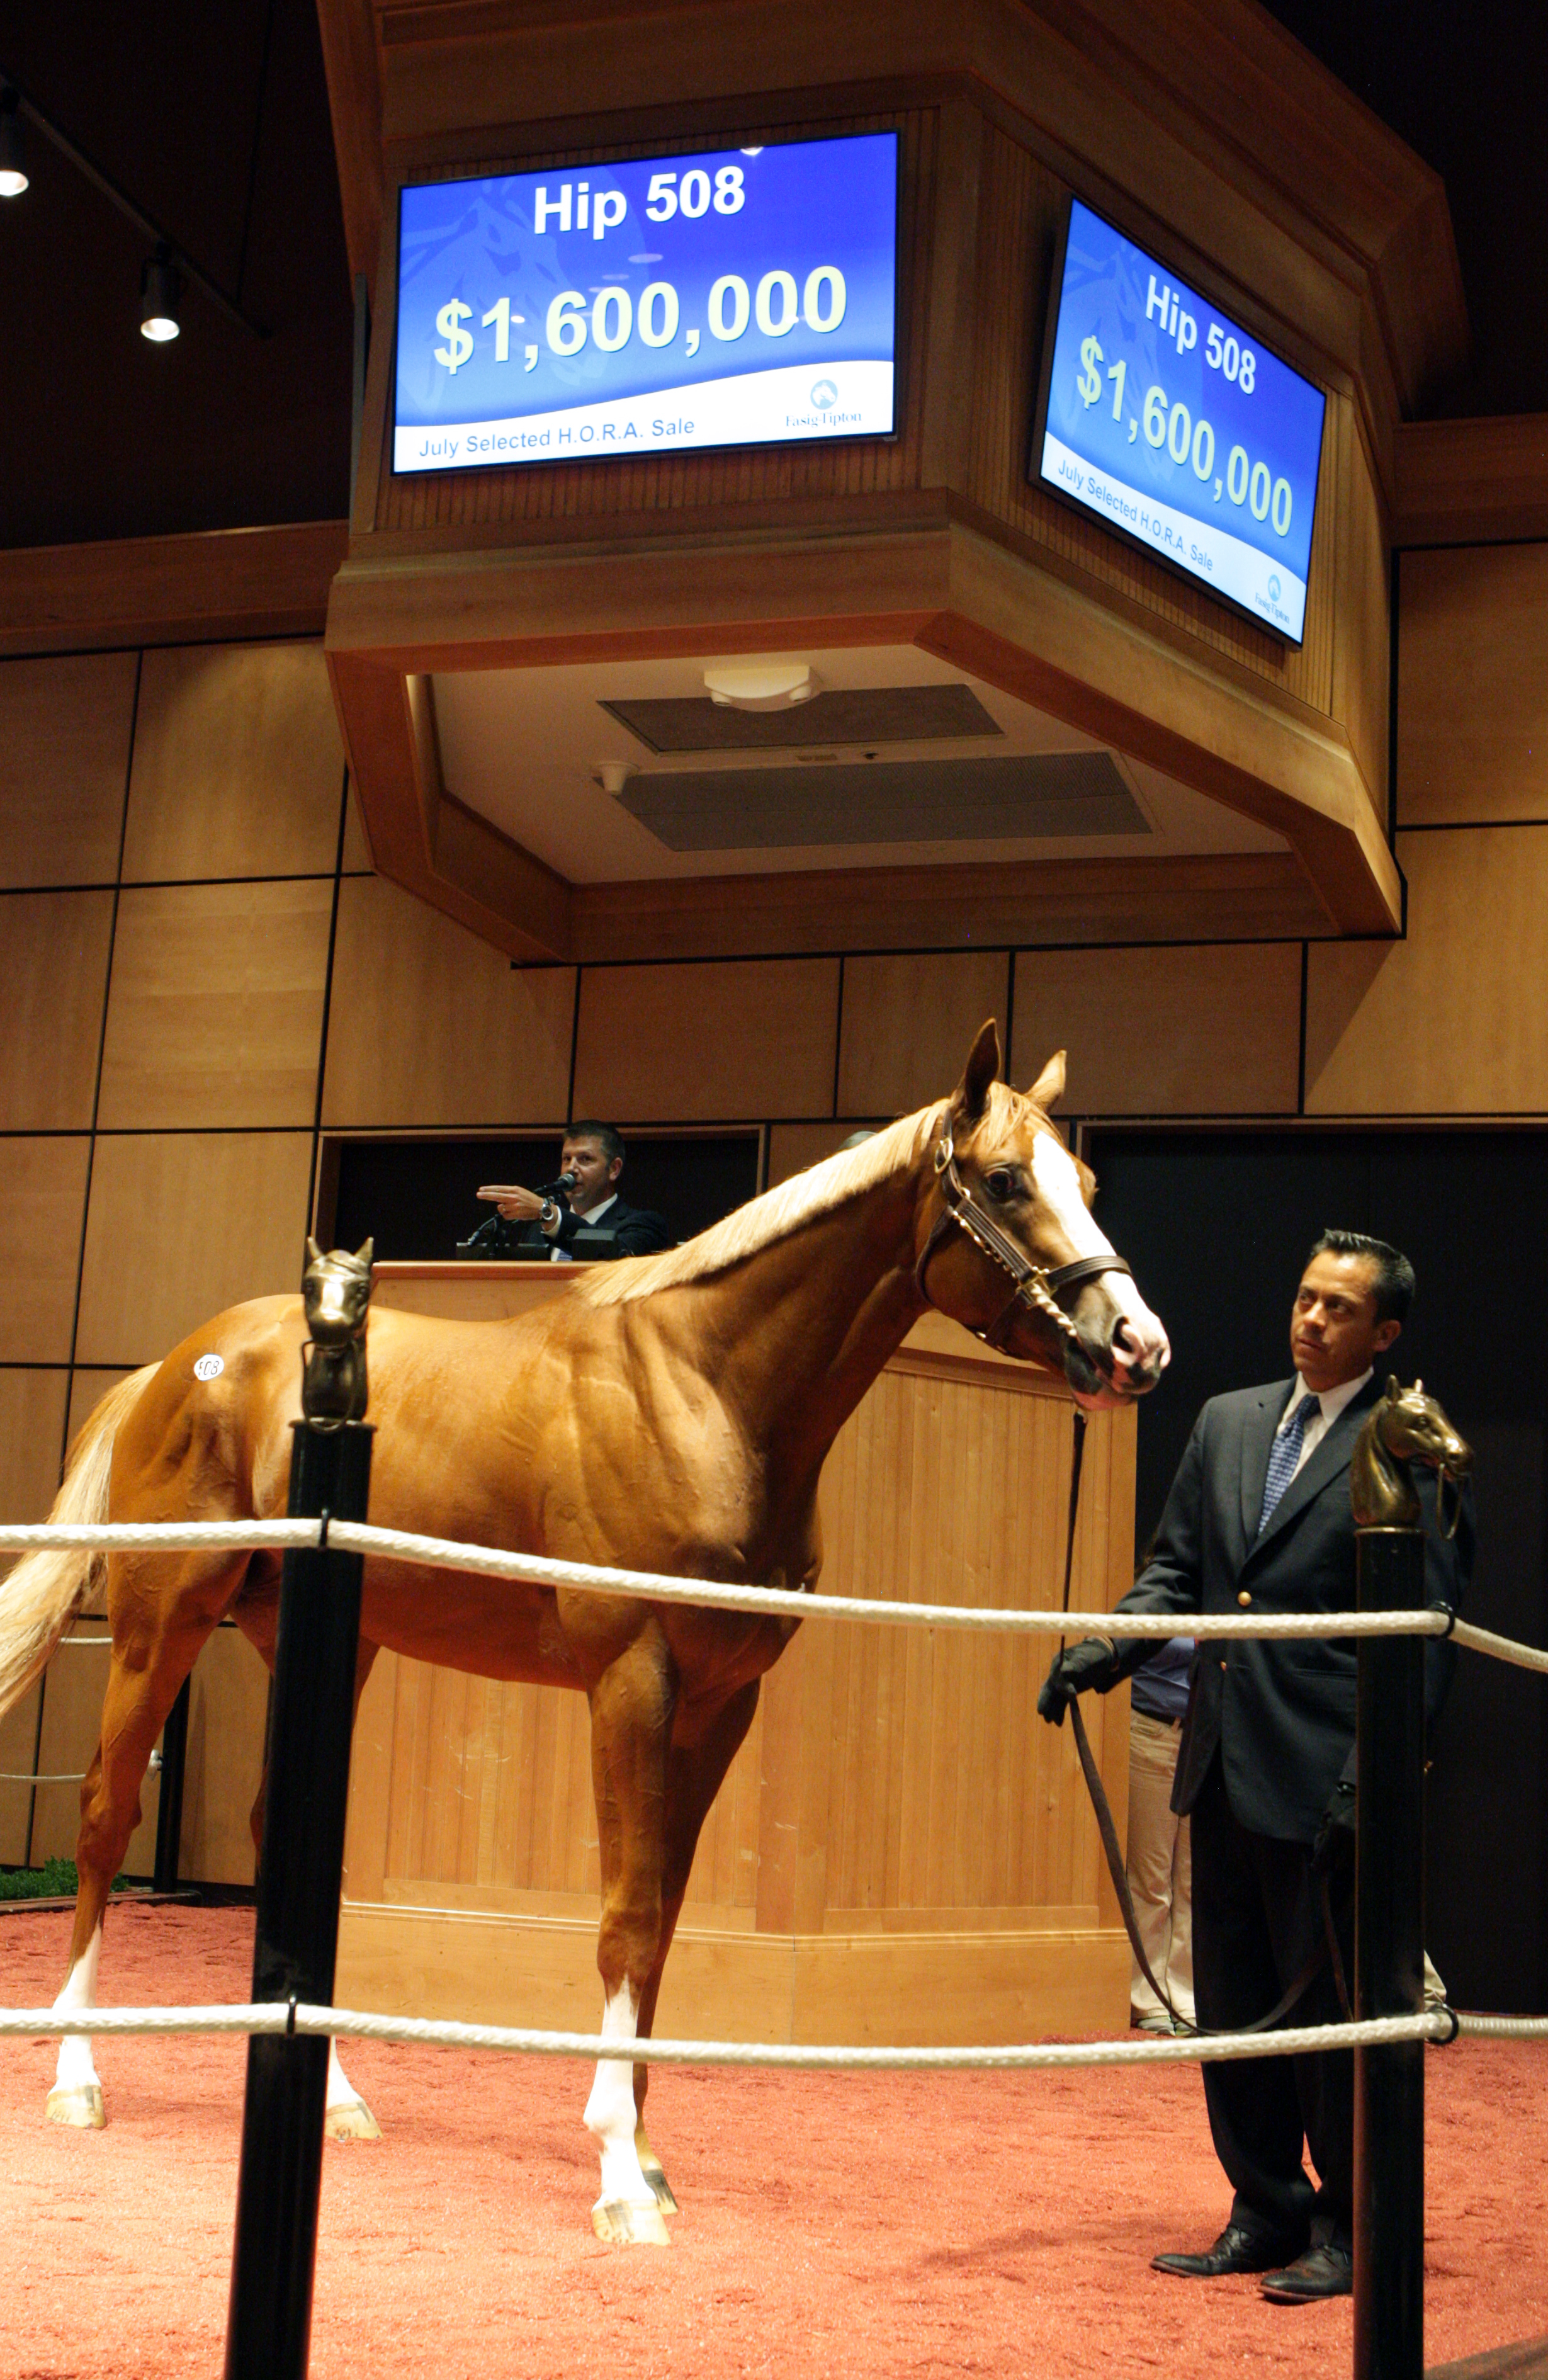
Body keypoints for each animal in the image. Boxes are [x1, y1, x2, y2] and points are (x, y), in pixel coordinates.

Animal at [0, 1022, 1169, 2244]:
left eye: (1084, 1185)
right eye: (1003, 1182)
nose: (1136, 1346)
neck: (705, 1391)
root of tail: (176, 1365)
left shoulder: (720, 1702)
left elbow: (663, 1920)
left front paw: (647, 2156)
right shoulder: (629, 1679)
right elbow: (624, 1913)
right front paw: (616, 2172)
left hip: (318, 1640)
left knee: (278, 1826)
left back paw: (336, 2097)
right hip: (160, 1621)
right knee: (104, 1815)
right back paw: (77, 2072)